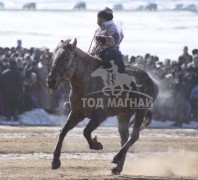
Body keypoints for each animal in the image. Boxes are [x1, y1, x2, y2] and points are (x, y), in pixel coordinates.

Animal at [47, 38, 159, 175]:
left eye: (66, 59)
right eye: (54, 58)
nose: (51, 81)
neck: (87, 81)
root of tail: (151, 81)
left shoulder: (100, 115)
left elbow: (86, 131)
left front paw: (96, 145)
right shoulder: (77, 113)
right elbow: (63, 132)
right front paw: (55, 161)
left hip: (140, 111)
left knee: (134, 136)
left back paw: (116, 158)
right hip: (124, 114)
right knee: (124, 137)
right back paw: (117, 167)